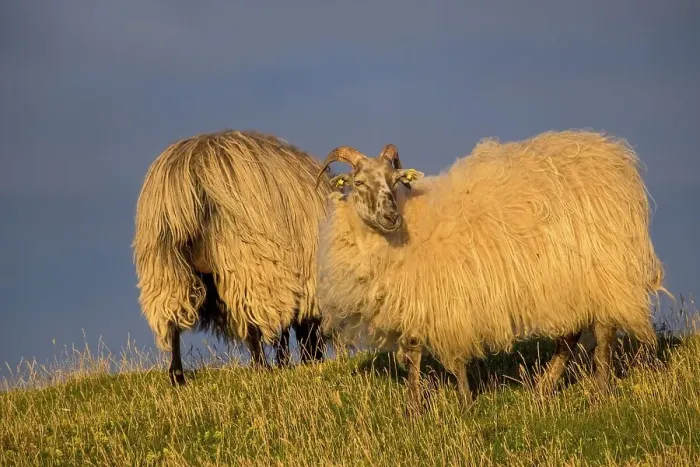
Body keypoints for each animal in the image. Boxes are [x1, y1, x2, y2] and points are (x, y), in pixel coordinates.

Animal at [132, 129, 333, 385]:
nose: (315, 358)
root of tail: (192, 171)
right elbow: (282, 328)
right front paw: (282, 363)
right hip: (243, 257)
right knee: (251, 317)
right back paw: (261, 366)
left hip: (165, 264)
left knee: (172, 316)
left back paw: (177, 375)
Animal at [313, 130, 668, 414]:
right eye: (359, 183)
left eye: (396, 181)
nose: (390, 216)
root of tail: (613, 160)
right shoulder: (414, 303)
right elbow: (413, 355)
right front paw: (414, 410)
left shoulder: (445, 300)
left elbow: (452, 358)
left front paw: (464, 404)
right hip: (570, 281)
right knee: (570, 335)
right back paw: (542, 391)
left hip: (605, 269)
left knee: (604, 332)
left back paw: (598, 395)